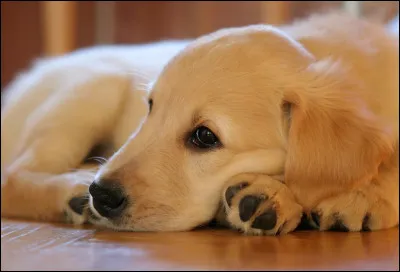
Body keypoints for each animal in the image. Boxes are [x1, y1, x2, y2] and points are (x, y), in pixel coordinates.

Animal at [1, 11, 398, 235]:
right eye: (150, 107)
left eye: (205, 136)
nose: (101, 194)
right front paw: (271, 196)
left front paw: (363, 197)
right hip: (94, 88)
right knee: (12, 176)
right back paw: (72, 189)